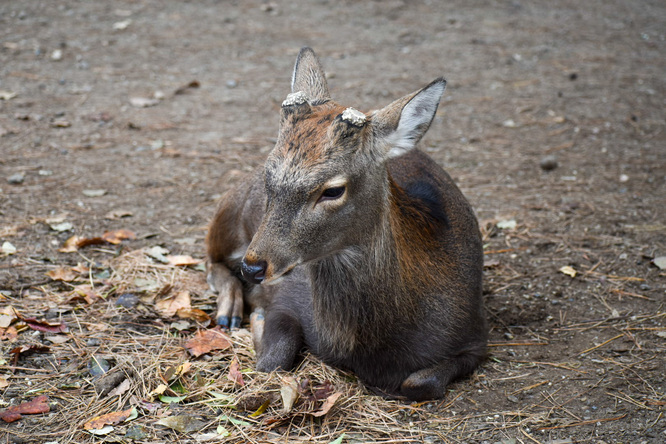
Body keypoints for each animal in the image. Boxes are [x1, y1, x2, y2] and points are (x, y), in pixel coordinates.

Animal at [205, 46, 486, 400]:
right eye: (270, 173)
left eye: (333, 190)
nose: (253, 267)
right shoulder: (287, 295)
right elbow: (273, 361)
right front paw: (256, 319)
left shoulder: (476, 336)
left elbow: (420, 383)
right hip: (232, 210)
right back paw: (229, 310)